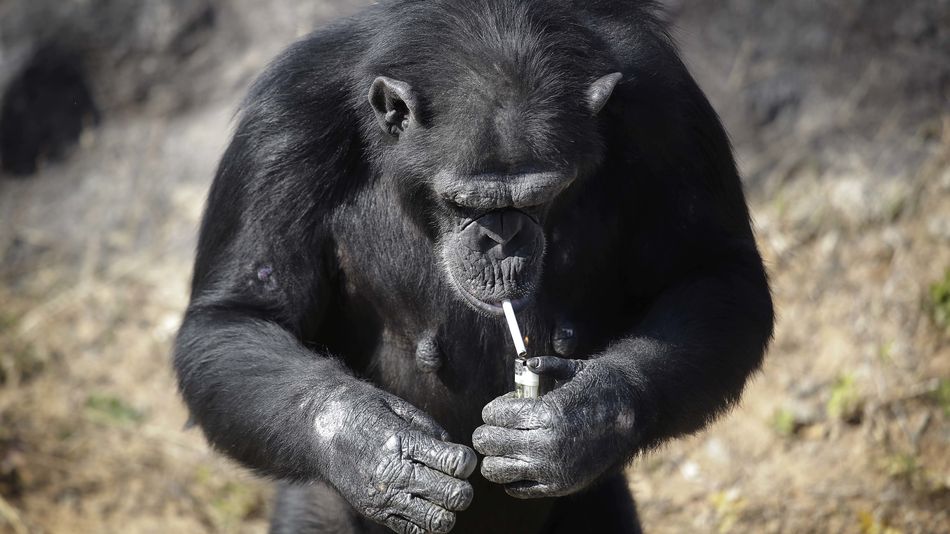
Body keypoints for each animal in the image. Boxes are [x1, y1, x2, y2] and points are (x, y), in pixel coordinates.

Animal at [175, 1, 776, 534]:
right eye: (462, 202)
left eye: (539, 197)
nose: (501, 241)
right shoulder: (282, 125)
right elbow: (237, 315)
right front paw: (375, 448)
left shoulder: (669, 107)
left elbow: (714, 273)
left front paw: (577, 423)